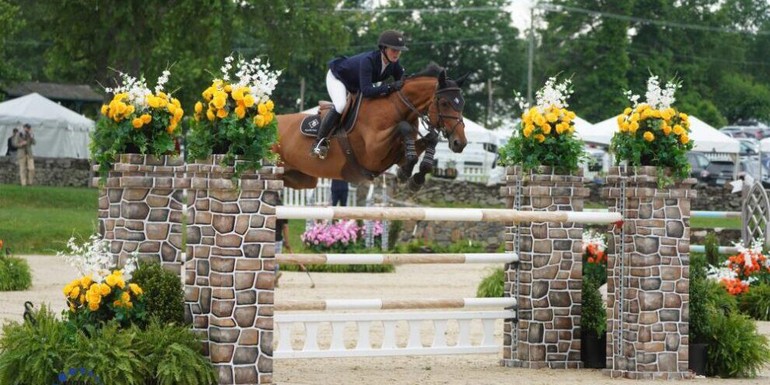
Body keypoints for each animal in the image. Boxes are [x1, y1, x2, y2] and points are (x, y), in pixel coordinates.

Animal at [274, 64, 468, 190]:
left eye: (462, 103)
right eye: (444, 103)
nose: (460, 143)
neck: (398, 108)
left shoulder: (398, 155)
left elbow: (430, 139)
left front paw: (416, 177)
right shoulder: (373, 153)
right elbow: (403, 127)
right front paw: (407, 172)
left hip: (300, 179)